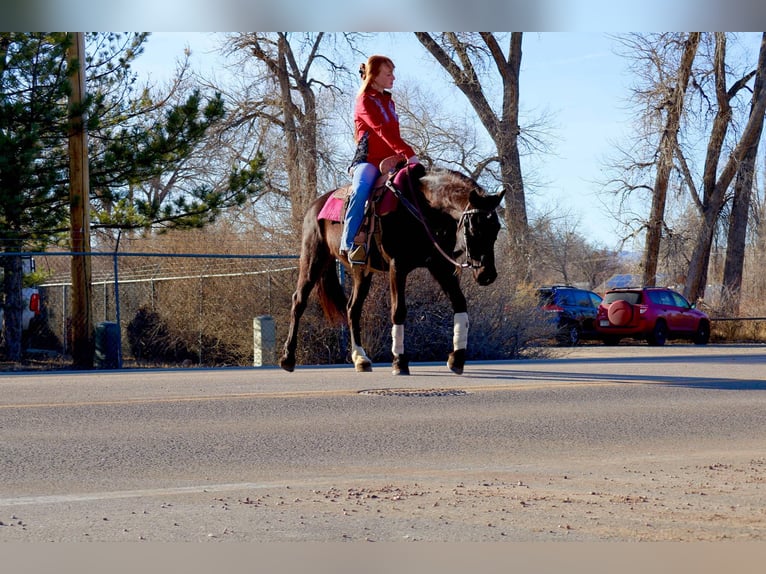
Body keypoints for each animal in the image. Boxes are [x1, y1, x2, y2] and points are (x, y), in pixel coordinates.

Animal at [279, 162, 505, 375]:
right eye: (474, 228)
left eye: (496, 229)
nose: (487, 275)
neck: (422, 208)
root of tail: (315, 205)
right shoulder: (398, 266)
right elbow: (398, 311)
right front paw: (400, 361)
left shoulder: (439, 266)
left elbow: (459, 303)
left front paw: (457, 359)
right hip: (313, 259)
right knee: (299, 302)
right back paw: (288, 358)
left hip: (361, 271)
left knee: (353, 309)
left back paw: (360, 358)